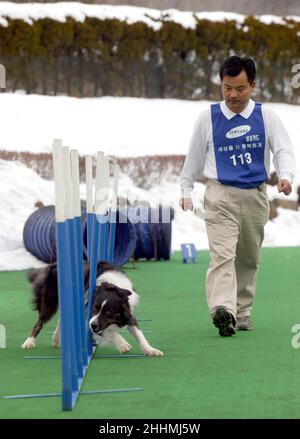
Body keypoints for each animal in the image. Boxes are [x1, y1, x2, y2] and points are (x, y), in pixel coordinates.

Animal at [21, 262, 163, 358]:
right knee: (39, 323)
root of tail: (53, 264)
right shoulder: (88, 316)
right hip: (49, 303)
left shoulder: (128, 313)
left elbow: (139, 334)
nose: (93, 325)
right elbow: (109, 333)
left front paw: (151, 350)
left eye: (108, 313)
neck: (112, 285)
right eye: (95, 308)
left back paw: (56, 339)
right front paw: (122, 343)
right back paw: (28, 342)